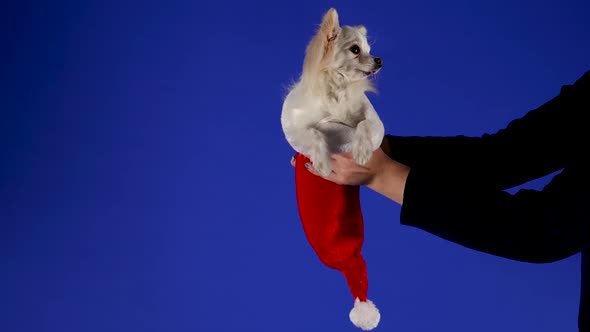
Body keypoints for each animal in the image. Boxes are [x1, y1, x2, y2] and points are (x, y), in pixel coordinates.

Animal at [284, 7, 386, 176]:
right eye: (355, 49)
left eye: (369, 51)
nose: (380, 60)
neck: (338, 86)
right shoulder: (295, 127)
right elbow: (314, 132)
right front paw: (322, 164)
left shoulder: (372, 120)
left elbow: (364, 123)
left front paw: (362, 152)